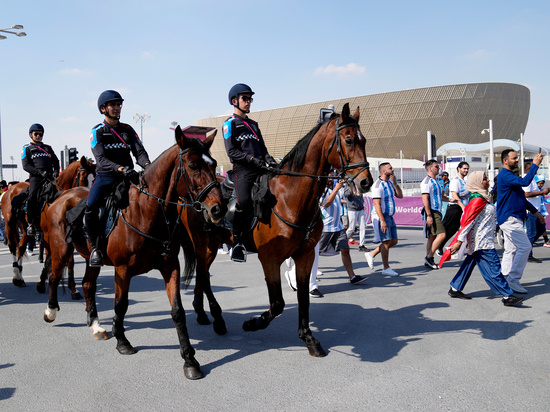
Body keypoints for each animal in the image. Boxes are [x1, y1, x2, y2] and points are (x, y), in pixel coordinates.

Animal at [0, 156, 96, 288]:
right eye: (83, 178)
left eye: (95, 178)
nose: (88, 202)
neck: (56, 196)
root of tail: (10, 189)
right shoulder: (47, 234)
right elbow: (52, 256)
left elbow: (70, 260)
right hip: (10, 223)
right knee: (13, 246)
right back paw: (16, 273)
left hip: (25, 227)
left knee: (21, 247)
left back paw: (19, 277)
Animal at [40, 127, 226, 382]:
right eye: (193, 165)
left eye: (214, 163)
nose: (219, 208)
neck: (147, 212)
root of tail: (61, 196)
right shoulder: (123, 270)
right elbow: (121, 305)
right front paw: (122, 341)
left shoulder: (171, 266)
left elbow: (178, 311)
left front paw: (190, 360)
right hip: (60, 250)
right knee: (54, 276)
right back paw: (50, 311)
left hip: (90, 258)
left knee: (88, 284)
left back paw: (96, 324)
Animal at [188, 104, 374, 358]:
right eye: (348, 140)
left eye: (363, 140)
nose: (366, 182)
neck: (290, 198)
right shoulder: (269, 258)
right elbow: (277, 304)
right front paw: (252, 323)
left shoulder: (305, 254)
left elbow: (303, 296)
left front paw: (308, 338)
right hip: (203, 244)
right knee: (204, 275)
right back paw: (214, 318)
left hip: (210, 246)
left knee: (202, 274)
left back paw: (201, 313)